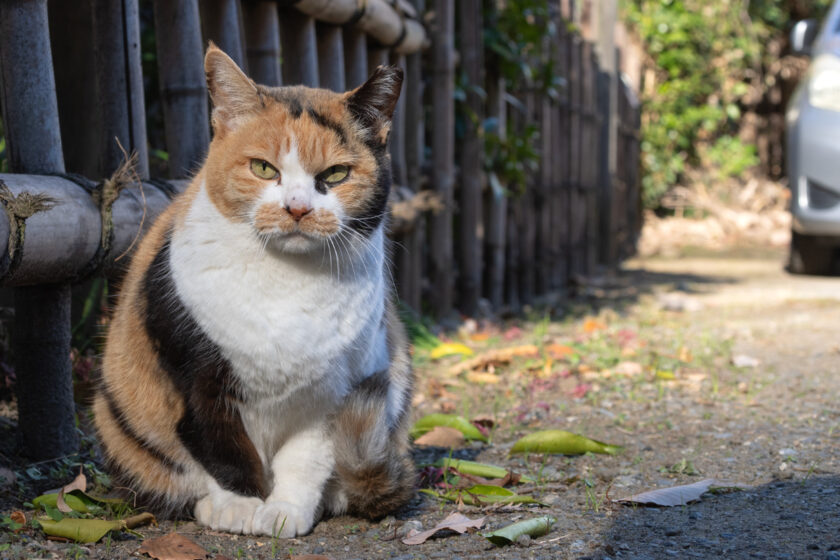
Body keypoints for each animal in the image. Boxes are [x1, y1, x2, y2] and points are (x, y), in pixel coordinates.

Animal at [92, 44, 416, 540]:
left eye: (336, 174)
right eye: (264, 168)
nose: (297, 208)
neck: (287, 283)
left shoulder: (333, 393)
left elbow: (307, 458)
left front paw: (285, 512)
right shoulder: (198, 382)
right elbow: (221, 450)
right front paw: (239, 509)